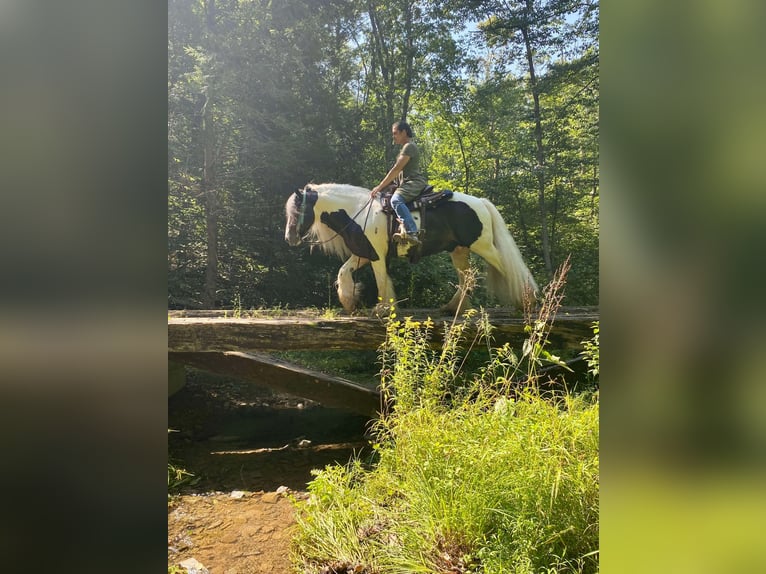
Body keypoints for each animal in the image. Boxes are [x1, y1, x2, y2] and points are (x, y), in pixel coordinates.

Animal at [284, 183, 540, 316]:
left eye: (297, 211)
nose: (290, 238)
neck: (357, 211)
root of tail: (481, 202)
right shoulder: (363, 253)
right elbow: (343, 271)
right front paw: (349, 301)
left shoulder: (376, 255)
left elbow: (381, 280)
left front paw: (383, 308)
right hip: (459, 251)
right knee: (467, 277)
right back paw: (452, 307)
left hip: (483, 246)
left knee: (507, 267)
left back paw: (527, 300)